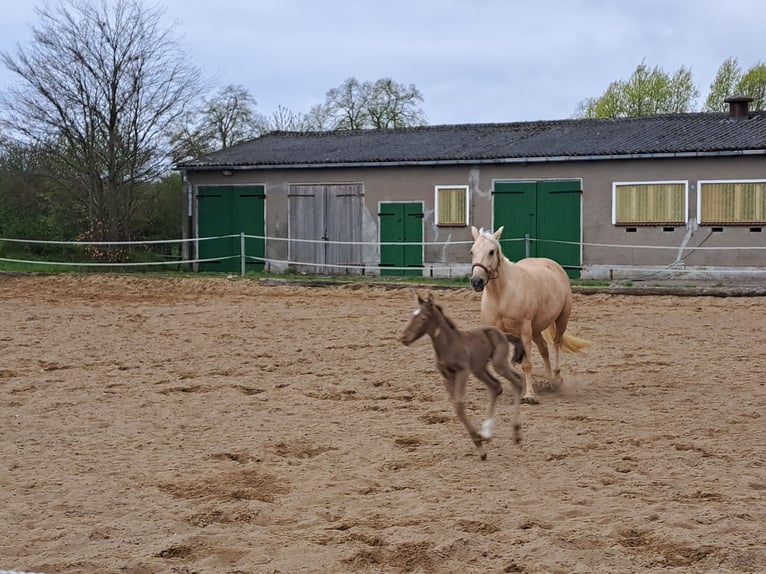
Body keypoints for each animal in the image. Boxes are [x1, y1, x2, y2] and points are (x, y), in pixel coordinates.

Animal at [399, 292, 524, 460]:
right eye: (413, 315)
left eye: (424, 317)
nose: (404, 338)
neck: (448, 344)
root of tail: (503, 333)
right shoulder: (446, 376)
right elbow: (456, 406)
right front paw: (480, 443)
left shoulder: (462, 371)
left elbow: (459, 404)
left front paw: (478, 441)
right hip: (479, 369)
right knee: (495, 386)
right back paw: (487, 433)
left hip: (498, 363)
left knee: (517, 381)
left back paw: (515, 434)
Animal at [469, 226, 591, 404]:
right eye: (472, 251)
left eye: (491, 251)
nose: (476, 281)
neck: (502, 294)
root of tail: (553, 264)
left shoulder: (525, 330)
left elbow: (526, 364)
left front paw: (529, 395)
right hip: (536, 330)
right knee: (544, 349)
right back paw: (549, 381)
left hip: (561, 319)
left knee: (557, 343)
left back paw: (556, 379)